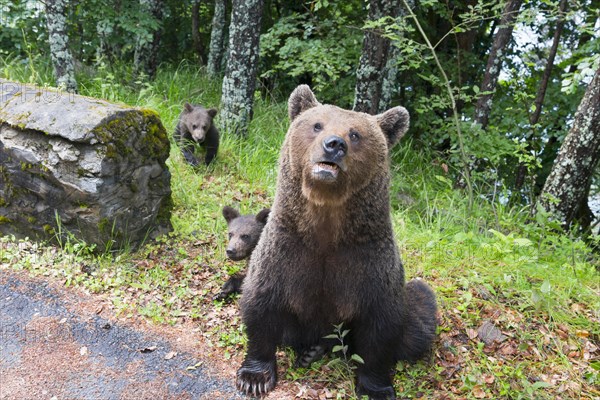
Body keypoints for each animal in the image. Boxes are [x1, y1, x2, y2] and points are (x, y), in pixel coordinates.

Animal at [234, 86, 436, 398]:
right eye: (317, 125)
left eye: (355, 134)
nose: (334, 144)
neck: (326, 225)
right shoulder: (284, 250)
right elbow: (260, 305)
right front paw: (254, 377)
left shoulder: (368, 262)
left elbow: (380, 327)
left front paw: (376, 387)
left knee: (419, 314)